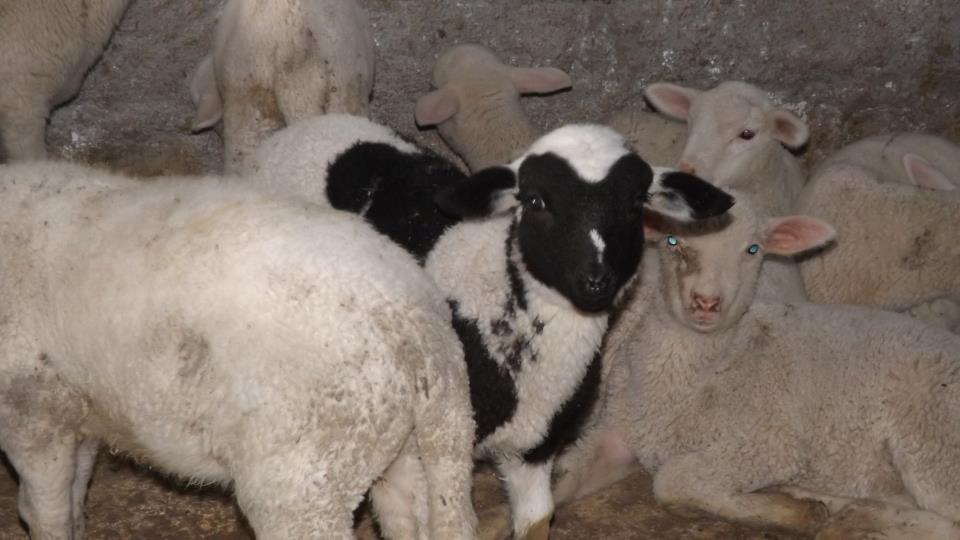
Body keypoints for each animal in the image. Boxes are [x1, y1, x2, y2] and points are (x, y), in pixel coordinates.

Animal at [0, 161, 478, 540]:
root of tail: (416, 322)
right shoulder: (76, 407)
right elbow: (74, 493)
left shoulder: (32, 409)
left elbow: (45, 512)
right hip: (418, 444)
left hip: (303, 479)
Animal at [250, 114, 736, 539]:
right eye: (536, 201)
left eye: (636, 203)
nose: (596, 280)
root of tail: (297, 130)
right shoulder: (435, 444)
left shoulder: (535, 450)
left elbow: (537, 521)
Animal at [553, 193, 960, 539]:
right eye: (672, 240)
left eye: (752, 249)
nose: (706, 302)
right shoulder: (616, 431)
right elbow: (562, 477)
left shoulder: (765, 445)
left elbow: (672, 479)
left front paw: (793, 513)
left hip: (933, 444)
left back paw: (856, 518)